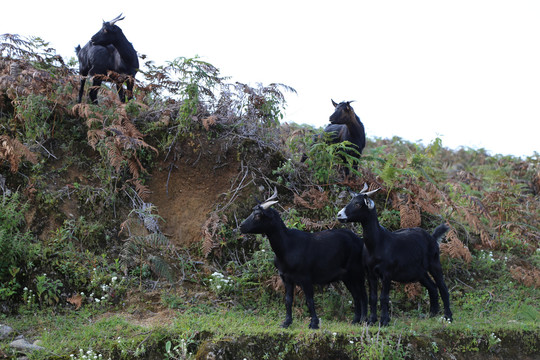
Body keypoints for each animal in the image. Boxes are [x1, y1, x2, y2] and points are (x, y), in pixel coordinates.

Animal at [240, 191, 368, 330]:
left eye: (258, 215)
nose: (241, 226)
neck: (288, 247)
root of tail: (359, 240)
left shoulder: (305, 277)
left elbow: (309, 300)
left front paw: (314, 323)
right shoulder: (286, 278)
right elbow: (288, 300)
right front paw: (286, 322)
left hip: (357, 271)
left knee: (362, 294)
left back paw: (363, 320)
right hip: (346, 276)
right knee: (356, 295)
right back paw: (355, 321)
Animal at [338, 186, 452, 326]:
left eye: (358, 204)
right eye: (351, 201)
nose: (339, 215)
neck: (378, 243)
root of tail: (432, 237)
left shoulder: (387, 273)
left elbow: (384, 297)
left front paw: (384, 321)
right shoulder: (370, 273)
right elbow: (373, 297)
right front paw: (371, 320)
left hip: (434, 263)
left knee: (442, 287)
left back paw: (448, 317)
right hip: (419, 272)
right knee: (432, 287)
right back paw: (432, 314)